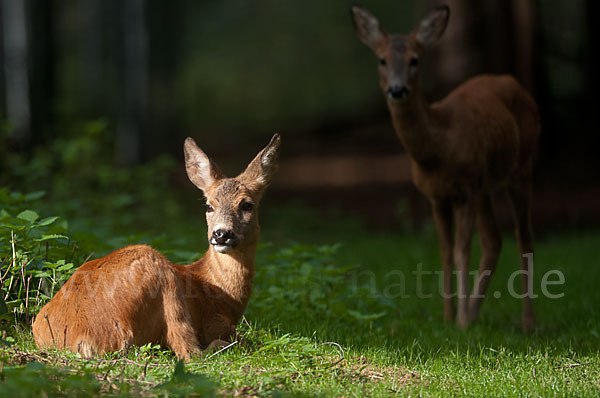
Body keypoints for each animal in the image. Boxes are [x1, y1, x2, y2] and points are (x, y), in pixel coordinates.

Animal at [34, 135, 282, 360]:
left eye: (247, 205)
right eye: (209, 206)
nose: (221, 234)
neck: (221, 292)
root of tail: (82, 338)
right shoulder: (215, 322)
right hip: (160, 273)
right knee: (189, 351)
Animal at [350, 4, 540, 332]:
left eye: (415, 60)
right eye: (382, 59)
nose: (397, 89)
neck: (439, 149)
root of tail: (518, 85)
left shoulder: (467, 188)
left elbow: (462, 251)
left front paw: (460, 321)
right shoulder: (436, 196)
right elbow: (445, 251)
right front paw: (450, 317)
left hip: (521, 167)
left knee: (523, 236)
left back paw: (526, 322)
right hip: (487, 185)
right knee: (493, 241)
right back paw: (475, 313)